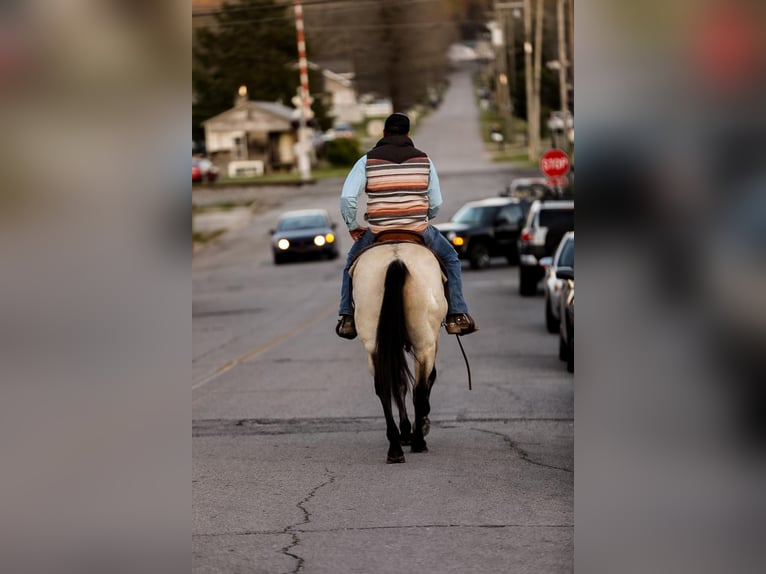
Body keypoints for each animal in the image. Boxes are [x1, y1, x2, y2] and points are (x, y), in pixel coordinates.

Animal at [350, 241, 450, 466]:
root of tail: (396, 261)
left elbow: (400, 384)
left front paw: (405, 432)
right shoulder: (432, 343)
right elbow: (428, 379)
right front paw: (420, 425)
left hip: (374, 345)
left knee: (384, 388)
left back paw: (395, 447)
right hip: (424, 343)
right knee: (420, 389)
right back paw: (418, 442)